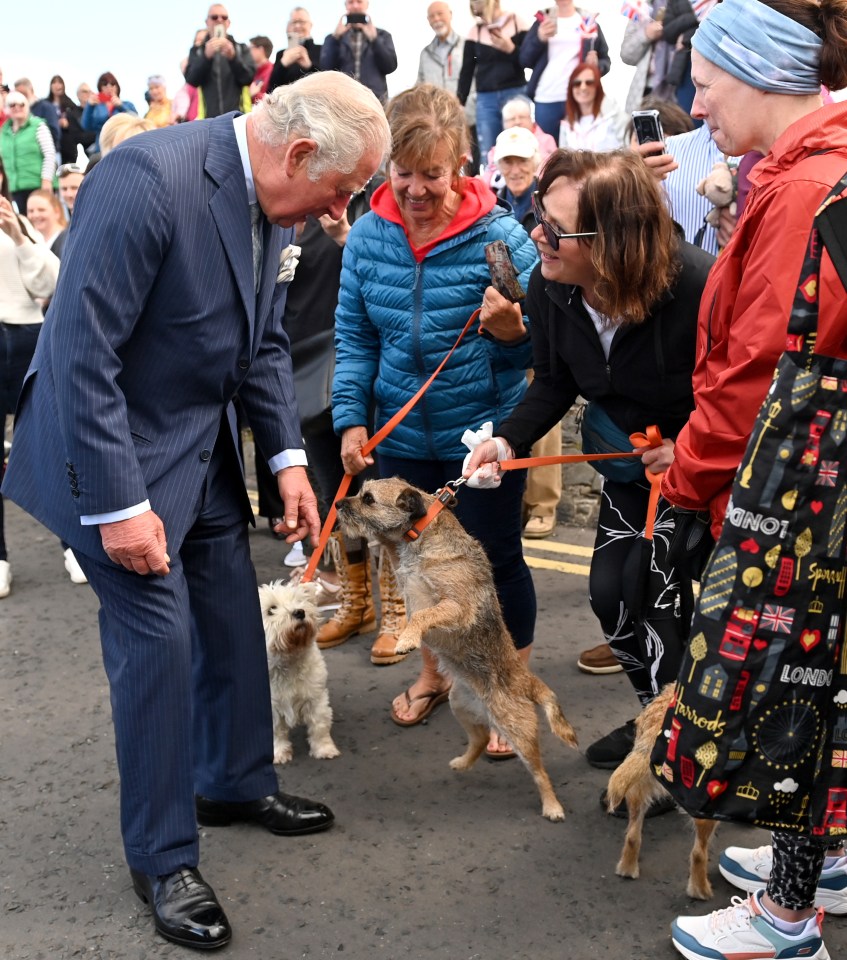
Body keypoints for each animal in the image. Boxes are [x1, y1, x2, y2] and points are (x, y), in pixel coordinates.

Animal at [258, 576, 342, 764]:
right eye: (271, 609)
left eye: (299, 601)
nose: (299, 612)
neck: (288, 662)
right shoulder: (272, 707)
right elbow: (276, 732)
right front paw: (279, 753)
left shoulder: (315, 698)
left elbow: (319, 726)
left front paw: (324, 750)